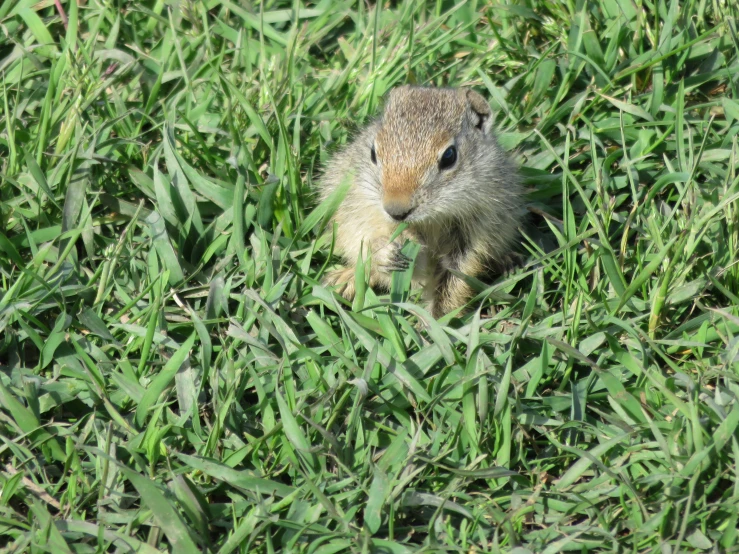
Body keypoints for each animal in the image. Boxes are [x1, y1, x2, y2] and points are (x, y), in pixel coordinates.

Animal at [320, 84, 524, 316]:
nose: (396, 211)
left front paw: (438, 318)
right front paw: (385, 250)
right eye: (372, 152)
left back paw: (509, 263)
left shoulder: (478, 226)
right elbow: (368, 234)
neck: (430, 219)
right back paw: (343, 281)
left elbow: (457, 276)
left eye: (449, 156)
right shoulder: (361, 205)